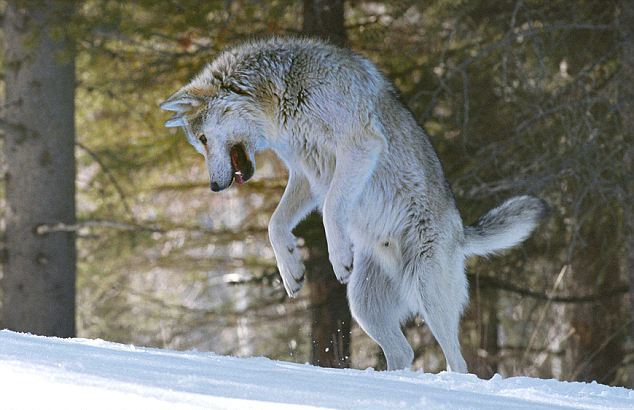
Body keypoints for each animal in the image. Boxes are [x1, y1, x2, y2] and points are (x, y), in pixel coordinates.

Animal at [160, 36, 544, 374]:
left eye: (203, 139)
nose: (214, 187)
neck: (282, 94)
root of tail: (462, 232)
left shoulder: (358, 147)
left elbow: (332, 208)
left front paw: (340, 257)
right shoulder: (305, 173)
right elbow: (274, 224)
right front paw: (291, 270)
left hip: (427, 292)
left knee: (459, 362)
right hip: (364, 306)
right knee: (403, 352)